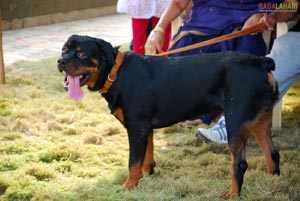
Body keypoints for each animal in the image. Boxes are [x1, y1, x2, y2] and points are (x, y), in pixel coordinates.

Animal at [58, 35, 278, 198]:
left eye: (81, 53)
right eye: (63, 51)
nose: (60, 61)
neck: (116, 73)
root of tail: (261, 61)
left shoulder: (136, 126)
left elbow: (133, 162)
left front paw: (128, 187)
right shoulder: (145, 127)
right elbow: (147, 157)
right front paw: (148, 177)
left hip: (235, 121)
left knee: (239, 164)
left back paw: (232, 194)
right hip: (260, 121)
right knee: (272, 154)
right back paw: (273, 184)